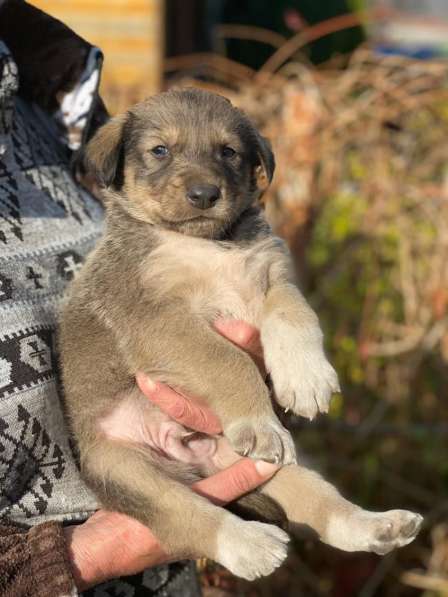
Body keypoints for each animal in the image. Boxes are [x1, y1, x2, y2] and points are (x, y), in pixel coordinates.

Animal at [60, 87, 424, 576]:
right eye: (160, 150)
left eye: (228, 152)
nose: (204, 194)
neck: (206, 244)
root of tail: (191, 457)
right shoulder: (156, 315)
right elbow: (225, 359)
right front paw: (259, 416)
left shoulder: (272, 276)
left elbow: (294, 317)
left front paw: (306, 380)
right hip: (128, 471)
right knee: (185, 516)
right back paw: (251, 543)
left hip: (263, 465)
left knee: (320, 502)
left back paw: (378, 525)